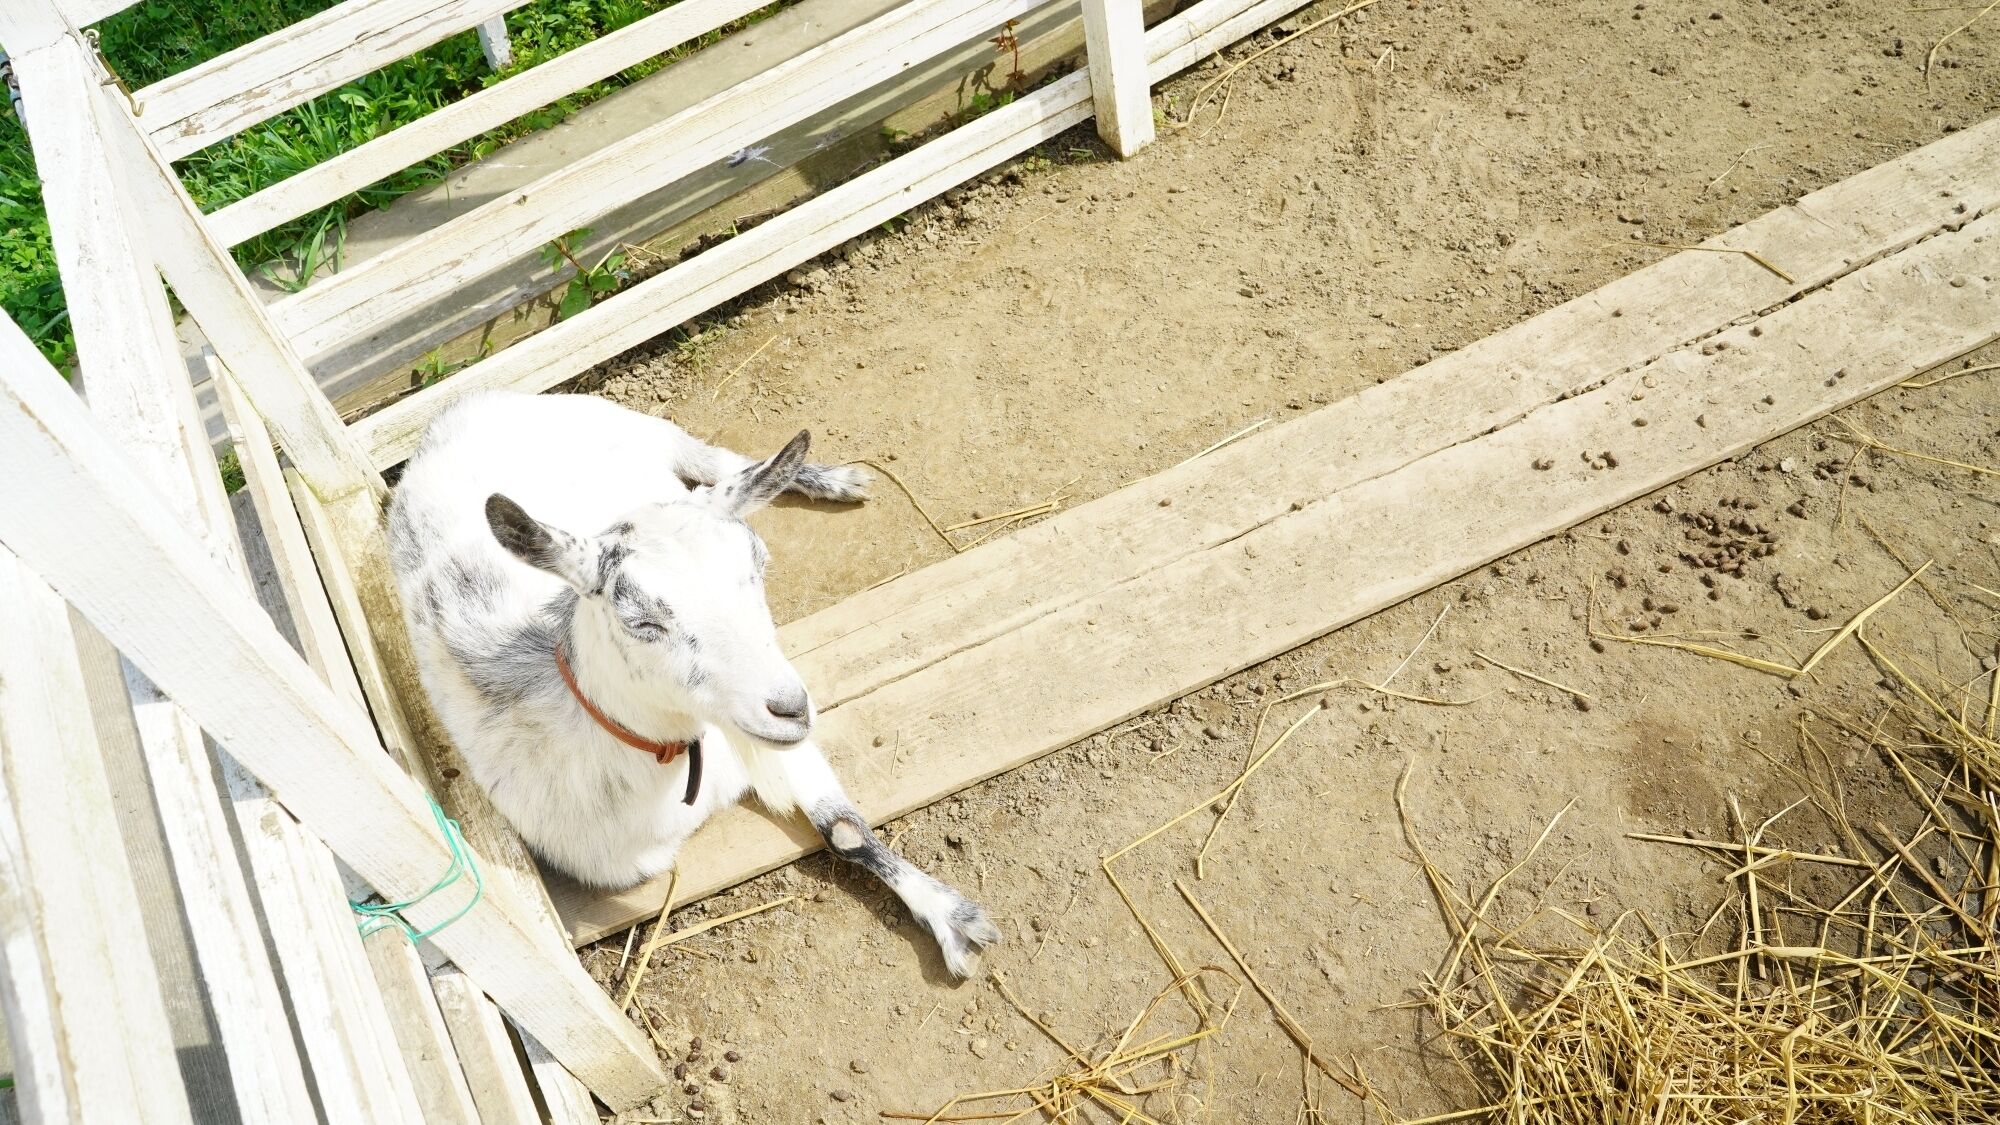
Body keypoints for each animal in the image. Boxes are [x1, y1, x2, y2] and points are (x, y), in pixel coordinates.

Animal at [386, 390, 999, 976]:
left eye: (760, 564)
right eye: (640, 621)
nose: (792, 708)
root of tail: (453, 409)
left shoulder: (764, 739)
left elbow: (843, 829)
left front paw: (952, 918)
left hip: (625, 422)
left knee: (716, 462)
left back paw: (831, 478)